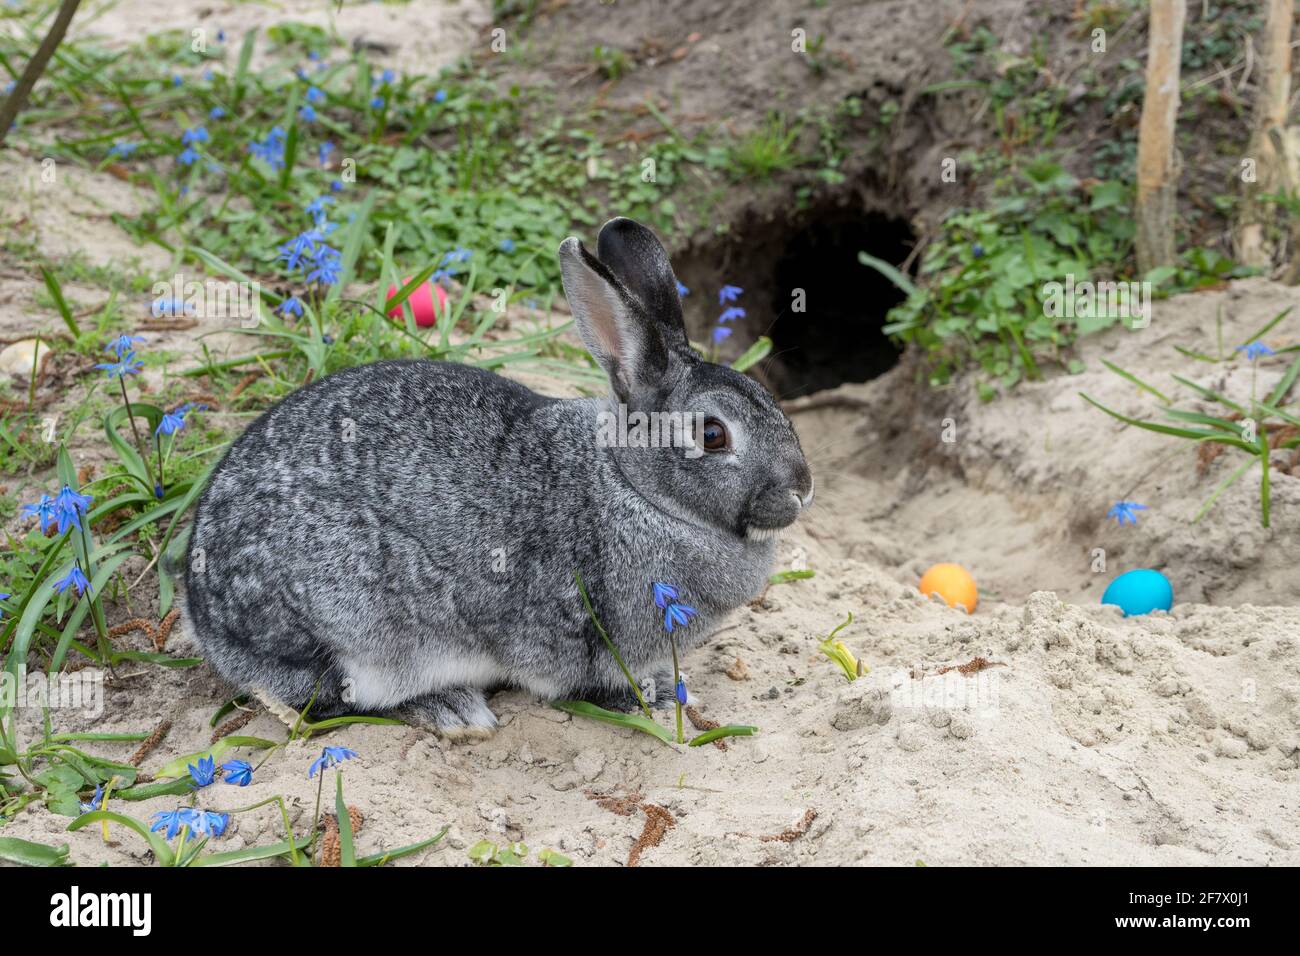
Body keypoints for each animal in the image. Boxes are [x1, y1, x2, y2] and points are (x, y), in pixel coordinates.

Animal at [182, 217, 813, 739]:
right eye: (713, 435)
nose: (801, 490)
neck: (634, 489)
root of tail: (205, 614)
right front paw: (646, 699)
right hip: (356, 623)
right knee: (335, 697)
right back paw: (452, 709)